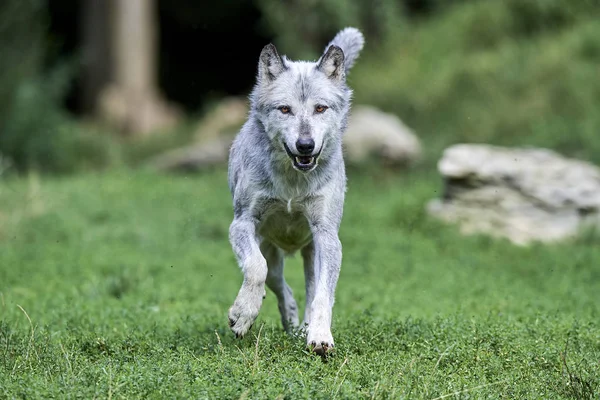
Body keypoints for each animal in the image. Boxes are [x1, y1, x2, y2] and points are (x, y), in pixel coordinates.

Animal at [226, 26, 364, 354]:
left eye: (320, 108)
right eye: (285, 109)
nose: (305, 145)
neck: (292, 183)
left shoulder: (327, 235)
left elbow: (323, 296)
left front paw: (320, 337)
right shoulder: (242, 223)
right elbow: (255, 268)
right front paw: (242, 314)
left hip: (312, 252)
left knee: (310, 290)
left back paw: (303, 329)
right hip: (269, 249)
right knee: (276, 282)